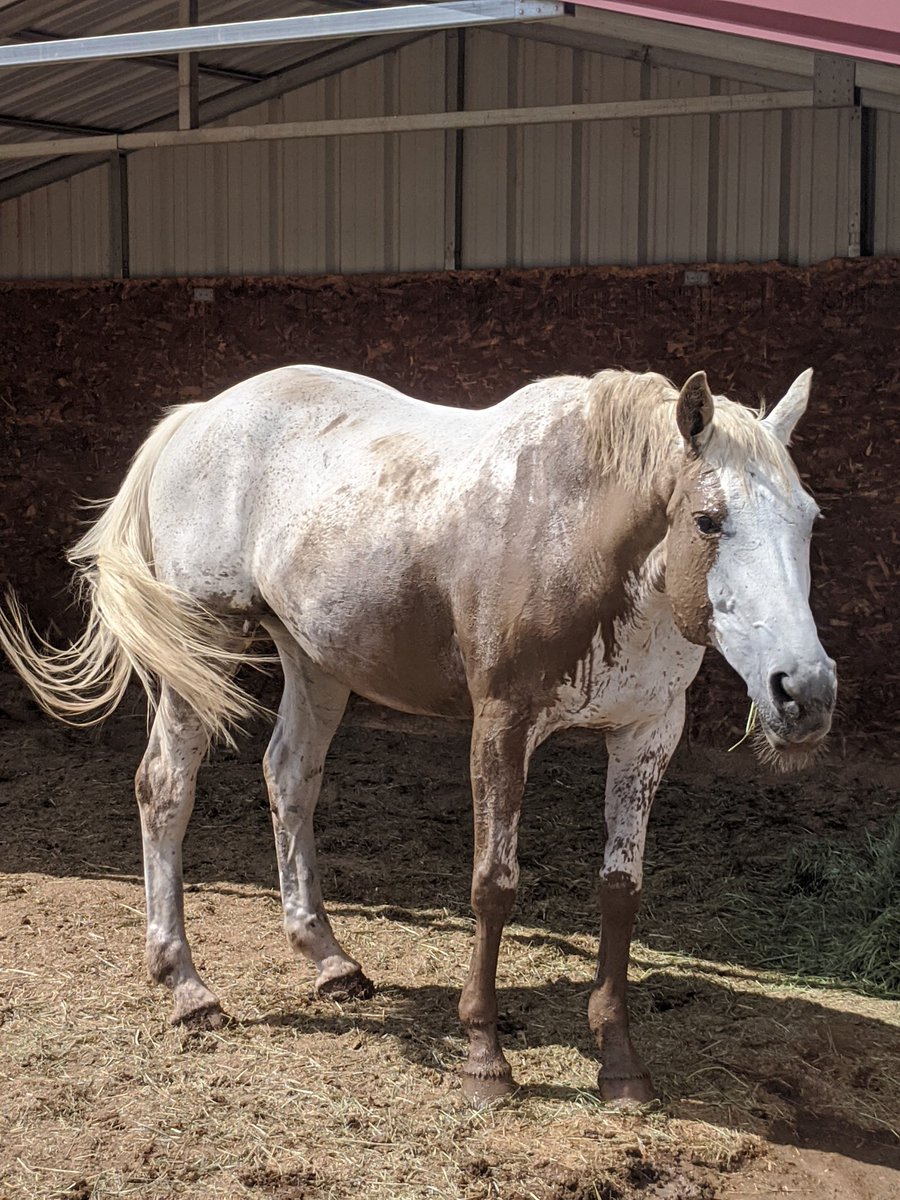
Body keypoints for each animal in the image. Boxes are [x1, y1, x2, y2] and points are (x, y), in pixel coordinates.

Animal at [0, 365, 836, 1107]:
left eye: (809, 519)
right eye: (708, 519)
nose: (806, 692)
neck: (578, 529)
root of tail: (197, 417)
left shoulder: (646, 735)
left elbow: (620, 894)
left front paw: (621, 1068)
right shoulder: (501, 725)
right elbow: (494, 886)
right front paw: (486, 1063)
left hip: (314, 659)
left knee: (289, 778)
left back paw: (328, 960)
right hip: (199, 651)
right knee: (166, 790)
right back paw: (186, 985)